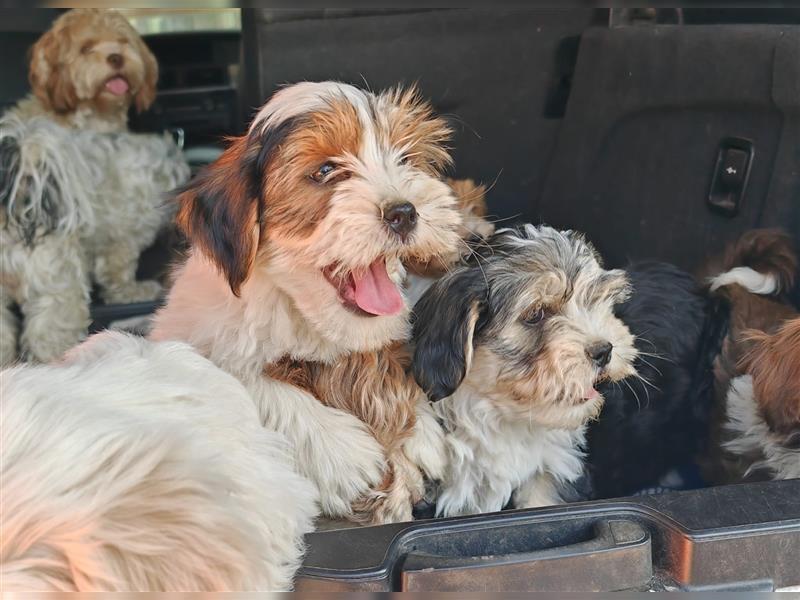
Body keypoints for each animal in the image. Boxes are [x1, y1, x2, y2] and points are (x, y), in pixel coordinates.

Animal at [150, 82, 462, 524]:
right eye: (326, 171)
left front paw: (422, 434)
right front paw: (344, 453)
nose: (403, 211)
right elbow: (245, 380)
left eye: (405, 159)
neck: (297, 310)